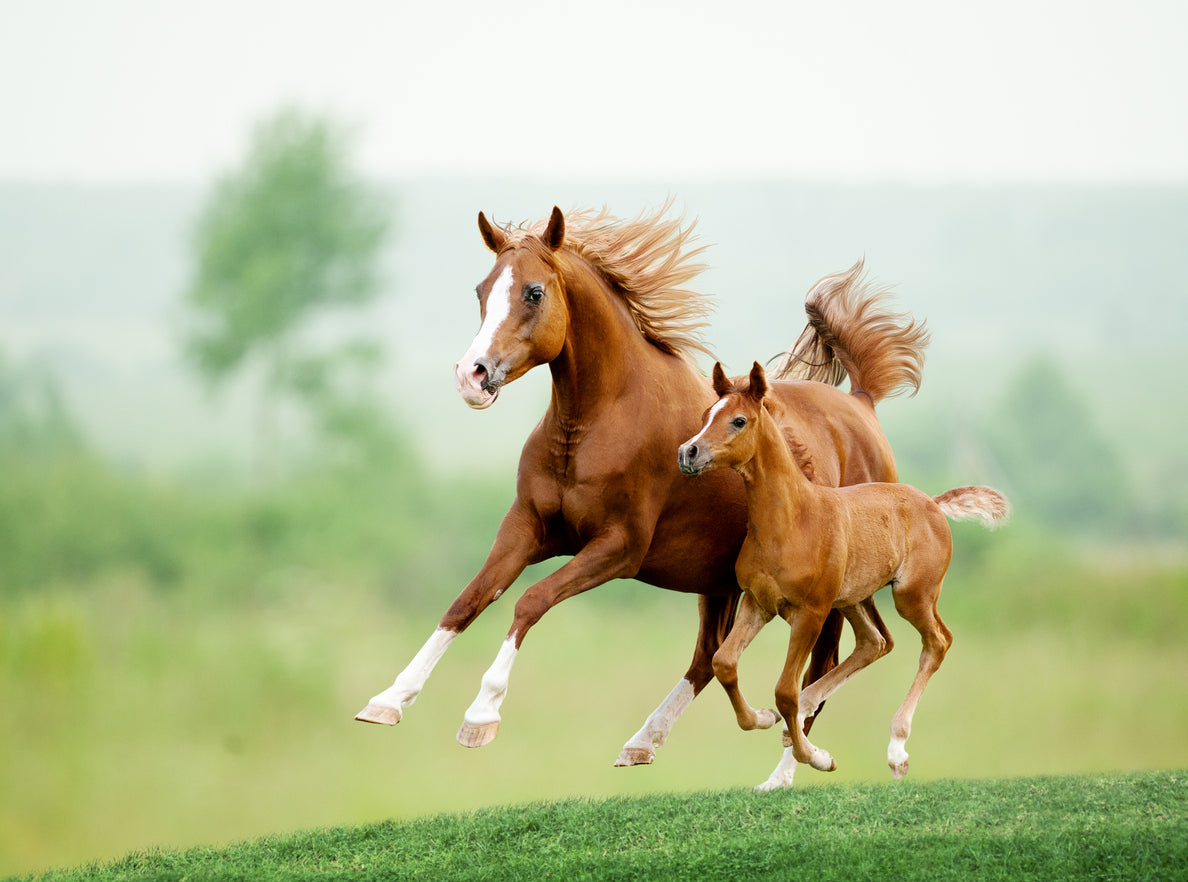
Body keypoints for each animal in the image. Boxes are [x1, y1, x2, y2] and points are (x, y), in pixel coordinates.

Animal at [351, 202, 926, 765]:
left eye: (533, 292)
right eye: (481, 290)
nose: (471, 376)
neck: (595, 423)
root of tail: (861, 404)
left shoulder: (617, 548)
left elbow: (530, 601)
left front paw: (481, 716)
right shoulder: (527, 529)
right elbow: (467, 601)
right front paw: (388, 700)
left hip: (827, 593)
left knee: (821, 669)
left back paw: (790, 768)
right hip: (718, 581)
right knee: (710, 658)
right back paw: (645, 740)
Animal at [684, 363, 1007, 789]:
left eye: (739, 420)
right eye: (707, 414)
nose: (688, 452)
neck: (791, 521)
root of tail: (934, 504)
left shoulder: (811, 612)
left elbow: (784, 690)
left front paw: (817, 757)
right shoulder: (758, 604)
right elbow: (724, 663)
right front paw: (764, 718)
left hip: (911, 595)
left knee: (937, 641)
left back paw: (896, 750)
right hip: (853, 598)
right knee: (875, 642)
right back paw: (799, 718)